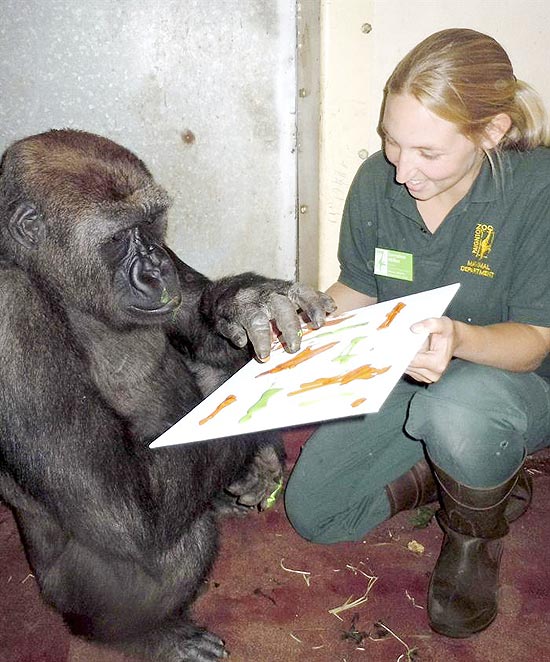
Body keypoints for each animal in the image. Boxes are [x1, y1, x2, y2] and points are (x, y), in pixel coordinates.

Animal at [0, 131, 336, 662]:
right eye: (118, 237)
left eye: (150, 225)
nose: (155, 267)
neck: (48, 278)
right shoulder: (10, 317)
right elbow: (127, 507)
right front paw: (259, 429)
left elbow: (199, 318)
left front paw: (248, 302)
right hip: (65, 593)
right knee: (169, 539)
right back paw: (148, 636)